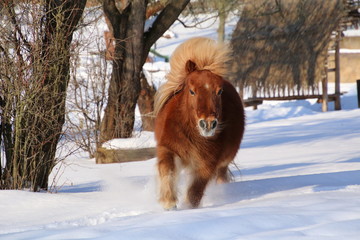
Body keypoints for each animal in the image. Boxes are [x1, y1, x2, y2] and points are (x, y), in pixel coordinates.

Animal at [153, 36, 246, 209]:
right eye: (192, 91)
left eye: (219, 91)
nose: (208, 124)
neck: (190, 132)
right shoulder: (167, 148)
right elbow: (167, 169)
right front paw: (169, 202)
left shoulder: (207, 164)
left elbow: (194, 193)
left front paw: (189, 209)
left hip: (223, 163)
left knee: (221, 178)